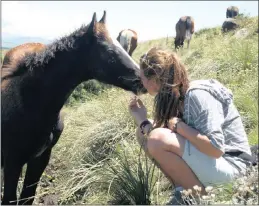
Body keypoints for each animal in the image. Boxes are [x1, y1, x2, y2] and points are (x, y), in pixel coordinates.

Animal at [1, 10, 147, 204]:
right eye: (108, 51)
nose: (142, 80)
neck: (30, 104)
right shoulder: (13, 162)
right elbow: (10, 198)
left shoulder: (40, 158)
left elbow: (27, 197)